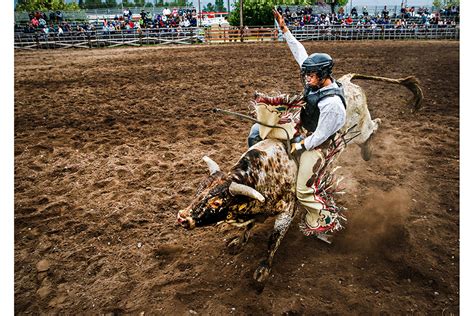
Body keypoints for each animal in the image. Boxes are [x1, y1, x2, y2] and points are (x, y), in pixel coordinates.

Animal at [177, 74, 422, 284]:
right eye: (198, 190)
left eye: (217, 202)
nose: (182, 217)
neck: (263, 172)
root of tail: (347, 80)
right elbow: (250, 227)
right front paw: (238, 241)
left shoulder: (287, 211)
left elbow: (273, 240)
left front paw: (263, 269)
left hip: (360, 130)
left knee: (374, 127)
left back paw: (368, 151)